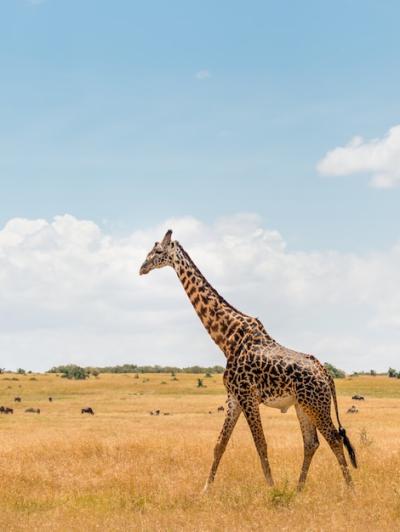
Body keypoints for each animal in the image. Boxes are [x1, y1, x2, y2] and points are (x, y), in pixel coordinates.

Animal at [139, 229, 358, 490]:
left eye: (158, 251)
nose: (142, 268)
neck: (226, 338)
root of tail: (326, 374)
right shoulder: (233, 397)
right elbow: (219, 445)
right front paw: (206, 489)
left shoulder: (247, 395)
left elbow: (260, 444)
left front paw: (272, 489)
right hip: (303, 404)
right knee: (311, 442)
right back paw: (298, 489)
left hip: (316, 404)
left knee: (334, 438)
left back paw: (350, 490)